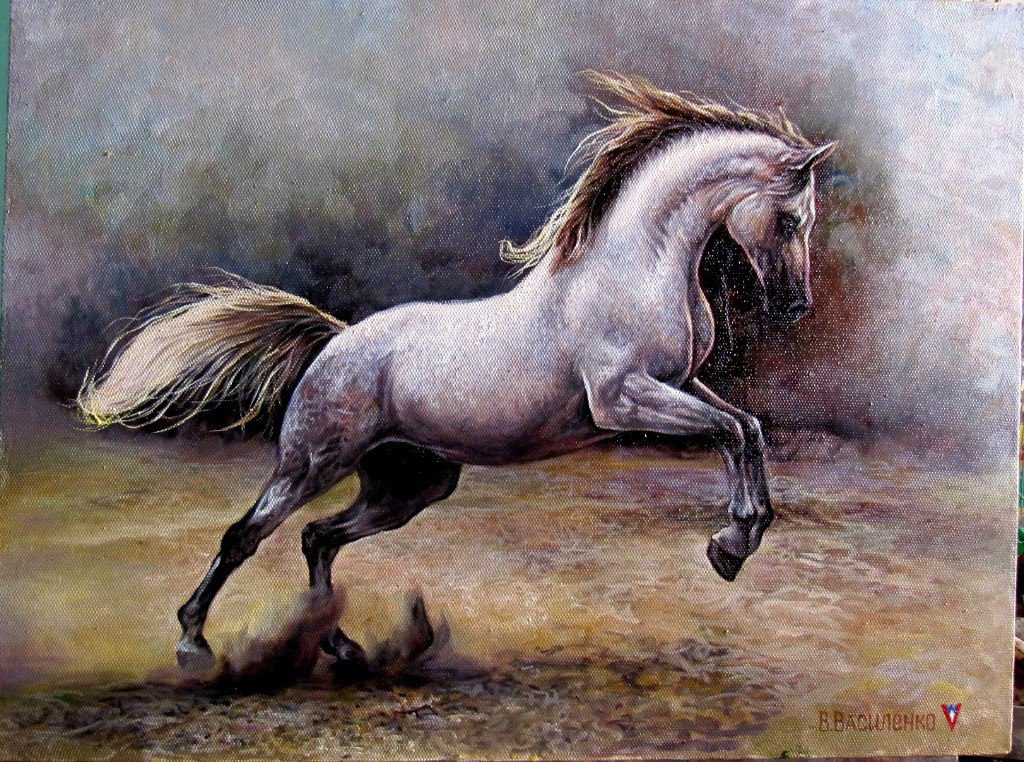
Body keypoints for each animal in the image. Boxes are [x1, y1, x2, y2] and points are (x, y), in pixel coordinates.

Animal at [77, 72, 834, 671]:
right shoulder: (624, 399)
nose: (797, 304)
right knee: (246, 536)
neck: (634, 268)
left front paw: (735, 544)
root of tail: (337, 343)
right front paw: (730, 544)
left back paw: (340, 646)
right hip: (313, 462)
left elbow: (747, 428)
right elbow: (733, 433)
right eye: (791, 218)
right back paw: (193, 644)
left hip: (410, 484)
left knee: (318, 537)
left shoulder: (681, 385)